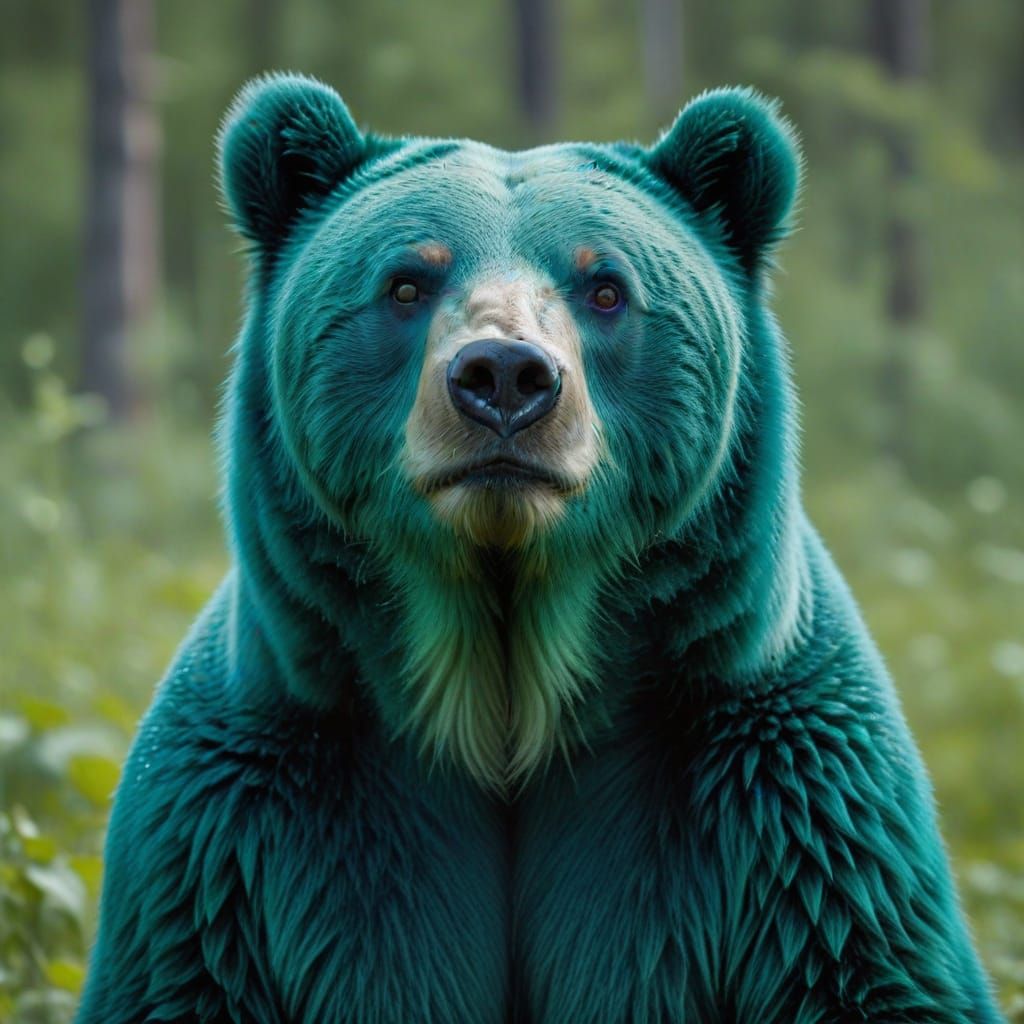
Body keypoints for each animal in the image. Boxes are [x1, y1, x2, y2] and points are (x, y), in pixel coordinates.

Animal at [76, 73, 1003, 1023]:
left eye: (607, 287)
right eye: (407, 282)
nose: (504, 378)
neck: (506, 685)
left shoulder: (784, 805)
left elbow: (854, 963)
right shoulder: (248, 828)